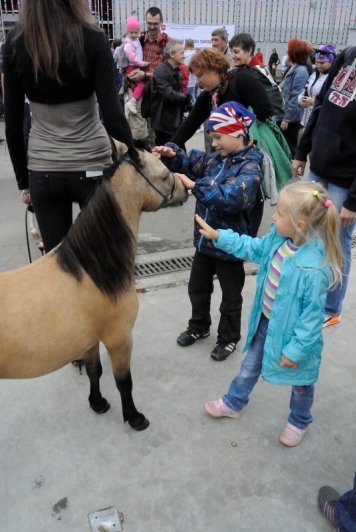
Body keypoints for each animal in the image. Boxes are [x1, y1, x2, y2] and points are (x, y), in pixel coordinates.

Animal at [0, 143, 188, 430]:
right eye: (165, 175)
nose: (186, 190)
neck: (90, 270)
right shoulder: (120, 339)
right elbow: (124, 382)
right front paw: (134, 417)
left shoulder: (88, 340)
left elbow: (94, 371)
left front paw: (97, 403)